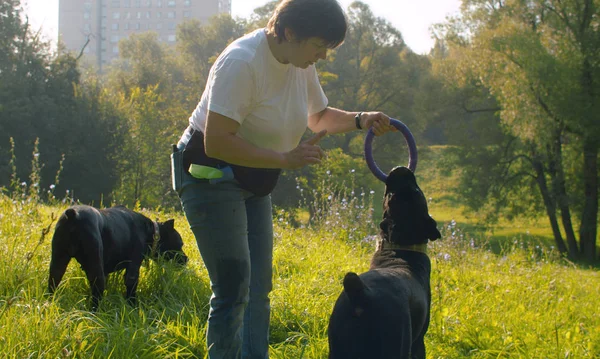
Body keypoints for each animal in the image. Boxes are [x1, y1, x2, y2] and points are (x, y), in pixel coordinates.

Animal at [47, 205, 188, 310]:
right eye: (180, 244)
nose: (186, 259)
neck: (152, 232)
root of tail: (73, 215)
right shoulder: (133, 268)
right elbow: (131, 290)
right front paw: (133, 307)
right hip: (95, 269)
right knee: (96, 294)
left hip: (58, 262)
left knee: (53, 282)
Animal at [328, 167, 440, 358]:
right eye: (391, 195)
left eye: (416, 191)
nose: (400, 169)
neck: (401, 248)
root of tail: (363, 294)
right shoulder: (418, 344)